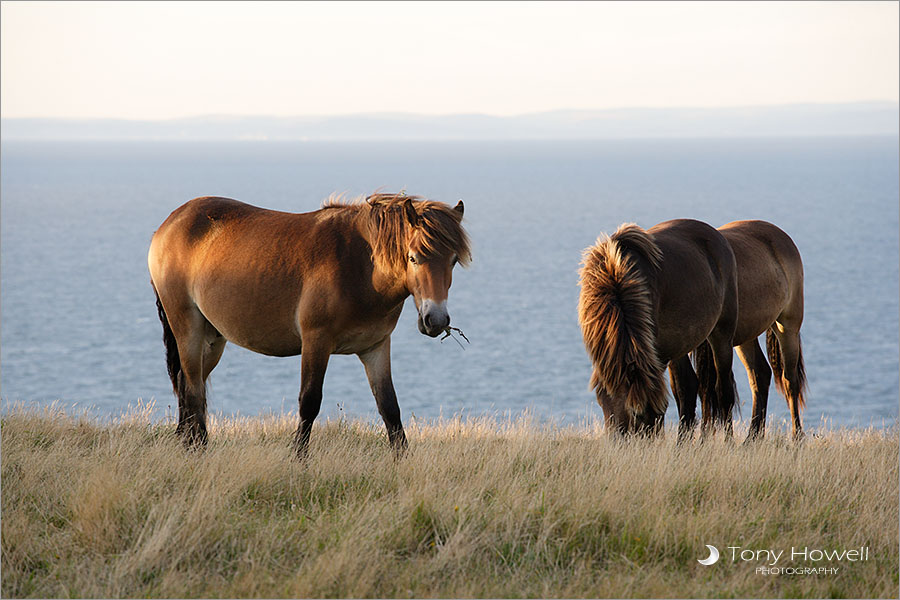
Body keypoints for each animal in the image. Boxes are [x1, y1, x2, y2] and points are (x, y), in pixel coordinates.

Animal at [148, 192, 472, 454]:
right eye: (414, 258)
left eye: (454, 261)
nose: (436, 319)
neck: (360, 266)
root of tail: (169, 223)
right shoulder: (316, 341)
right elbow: (310, 401)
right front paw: (298, 459)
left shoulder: (376, 347)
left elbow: (389, 407)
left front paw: (401, 460)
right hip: (187, 327)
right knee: (193, 389)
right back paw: (198, 450)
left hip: (213, 337)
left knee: (187, 384)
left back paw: (185, 444)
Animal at [580, 218, 740, 438]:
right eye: (602, 404)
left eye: (639, 414)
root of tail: (718, 237)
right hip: (679, 345)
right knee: (688, 388)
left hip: (721, 334)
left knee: (723, 391)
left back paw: (728, 441)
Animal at [688, 220, 808, 440]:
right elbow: (704, 387)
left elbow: (709, 387)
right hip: (746, 337)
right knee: (760, 374)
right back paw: (753, 437)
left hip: (788, 326)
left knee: (790, 380)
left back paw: (797, 436)